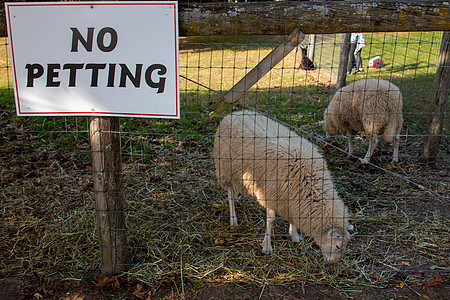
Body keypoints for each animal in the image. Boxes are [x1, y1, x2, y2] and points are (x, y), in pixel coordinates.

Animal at [214, 110, 352, 264]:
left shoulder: (290, 197)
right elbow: (271, 221)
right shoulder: (270, 194)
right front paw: (267, 246)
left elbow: (292, 217)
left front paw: (294, 235)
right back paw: (233, 220)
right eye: (338, 246)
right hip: (225, 170)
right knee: (230, 194)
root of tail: (235, 113)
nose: (332, 263)